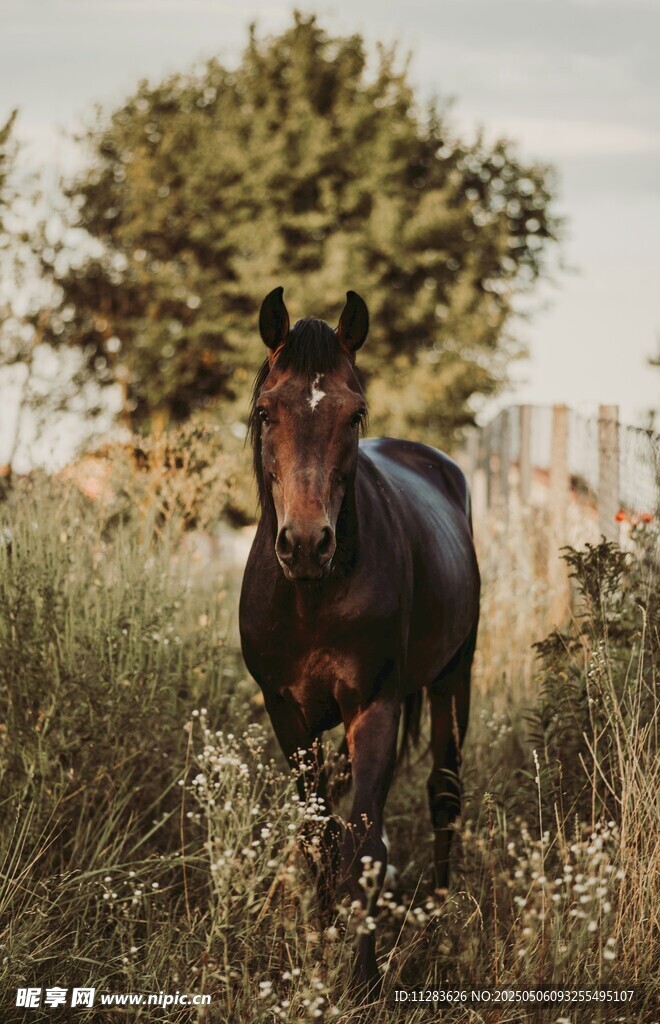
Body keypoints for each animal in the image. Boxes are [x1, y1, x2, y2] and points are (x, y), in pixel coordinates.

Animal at [239, 287, 480, 994]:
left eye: (356, 414)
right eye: (265, 411)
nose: (306, 543)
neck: (312, 597)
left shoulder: (374, 706)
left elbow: (365, 845)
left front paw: (364, 978)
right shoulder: (287, 716)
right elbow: (317, 838)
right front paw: (320, 949)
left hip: (454, 677)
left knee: (444, 796)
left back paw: (437, 920)